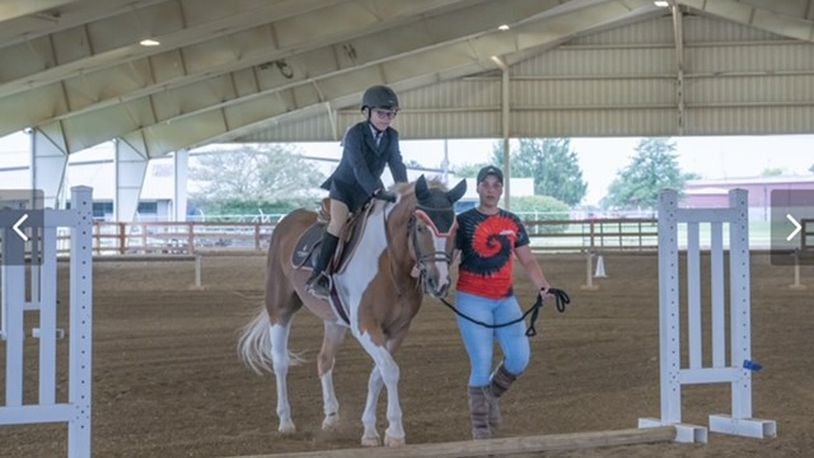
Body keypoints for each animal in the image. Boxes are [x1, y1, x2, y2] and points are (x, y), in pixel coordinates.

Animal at [237, 175, 466, 448]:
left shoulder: (398, 330)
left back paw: (331, 418)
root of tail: (287, 220)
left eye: (455, 229)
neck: (390, 263)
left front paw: (370, 431)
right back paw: (286, 422)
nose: (438, 283)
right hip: (280, 308)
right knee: (280, 362)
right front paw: (395, 432)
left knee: (324, 359)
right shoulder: (365, 325)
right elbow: (390, 370)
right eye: (420, 228)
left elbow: (378, 373)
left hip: (334, 322)